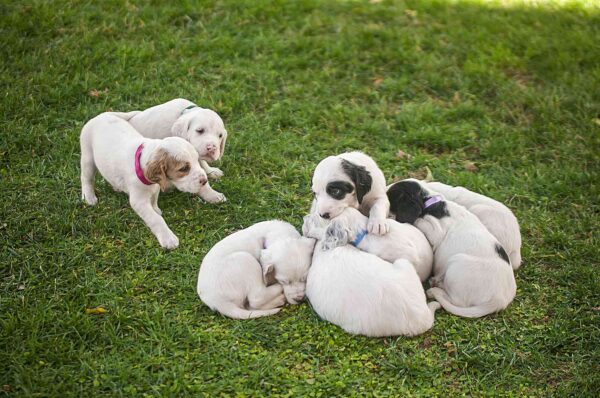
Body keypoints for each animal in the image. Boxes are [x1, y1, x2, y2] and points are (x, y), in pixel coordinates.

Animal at [79, 112, 220, 249]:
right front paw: (168, 238)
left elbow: (154, 199)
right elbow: (155, 219)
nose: (204, 181)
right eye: (184, 168)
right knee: (86, 178)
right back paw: (89, 197)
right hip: (87, 157)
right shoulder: (138, 201)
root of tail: (102, 115)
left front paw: (156, 209)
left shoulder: (155, 186)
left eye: (197, 160)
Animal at [386, 180, 516, 318]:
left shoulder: (435, 232)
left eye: (390, 197)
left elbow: (419, 221)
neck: (431, 203)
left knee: (455, 300)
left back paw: (435, 288)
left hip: (456, 264)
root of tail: (500, 300)